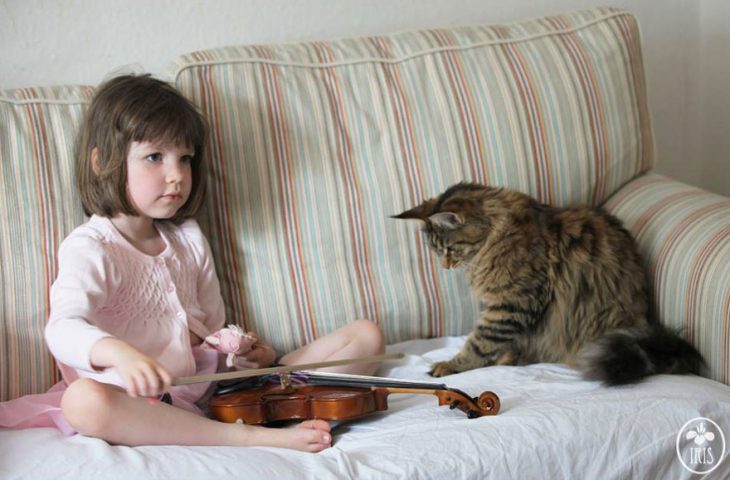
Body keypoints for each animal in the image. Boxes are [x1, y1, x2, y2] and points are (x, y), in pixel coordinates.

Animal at [396, 182, 704, 384]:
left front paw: (452, 366)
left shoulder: (512, 303)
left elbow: (480, 342)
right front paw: (505, 358)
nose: (445, 266)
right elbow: (505, 342)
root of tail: (641, 325)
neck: (497, 235)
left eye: (449, 249)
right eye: (438, 252)